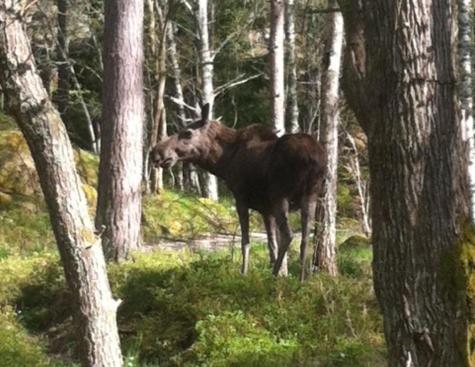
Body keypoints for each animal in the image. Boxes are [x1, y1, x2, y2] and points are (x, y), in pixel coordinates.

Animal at [152, 105, 328, 280]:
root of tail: (312, 159)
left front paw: (244, 274)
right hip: (310, 195)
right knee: (305, 237)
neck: (223, 162)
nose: (156, 152)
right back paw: (302, 279)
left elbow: (245, 241)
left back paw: (273, 276)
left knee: (289, 235)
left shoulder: (240, 199)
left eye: (188, 132)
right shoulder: (266, 209)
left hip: (280, 195)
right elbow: (271, 243)